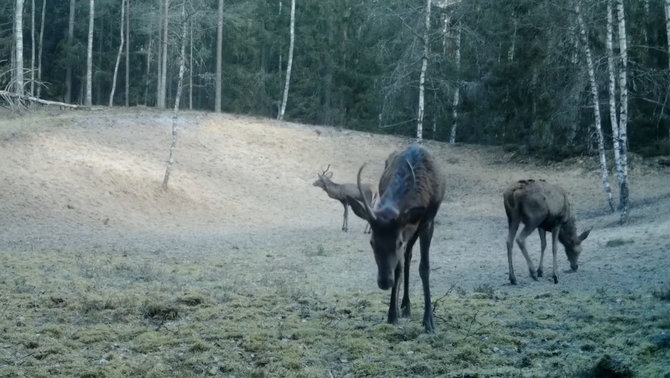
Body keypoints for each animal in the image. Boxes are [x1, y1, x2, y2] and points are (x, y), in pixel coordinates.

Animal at [350, 145, 448, 334]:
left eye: (398, 242)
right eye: (372, 242)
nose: (384, 282)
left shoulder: (427, 222)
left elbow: (424, 267)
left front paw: (429, 322)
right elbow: (398, 267)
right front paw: (392, 315)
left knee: (409, 256)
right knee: (406, 259)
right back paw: (404, 305)